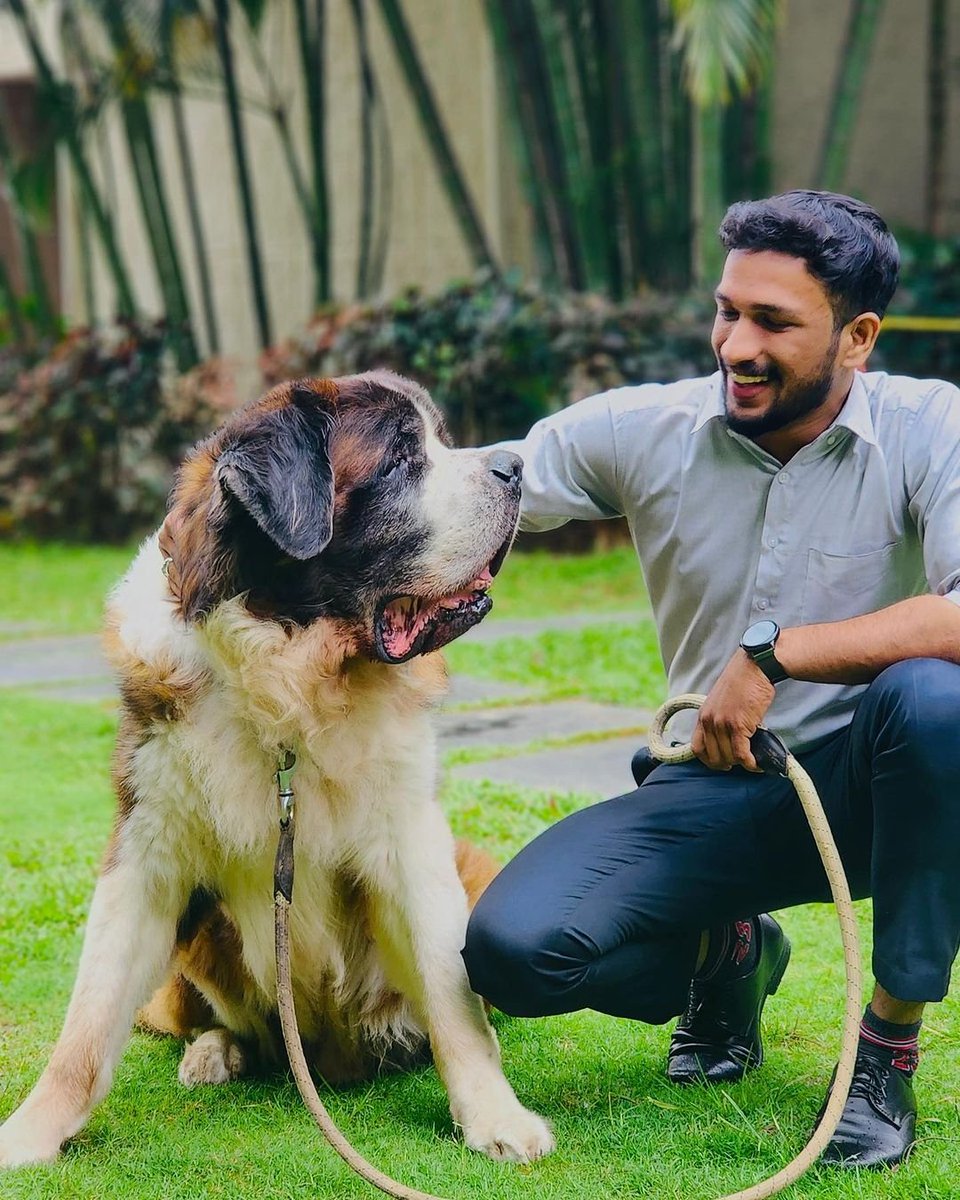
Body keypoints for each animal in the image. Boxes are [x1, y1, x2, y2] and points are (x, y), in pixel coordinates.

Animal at [0, 369, 554, 1166]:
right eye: (399, 458)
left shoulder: (414, 844)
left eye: (441, 440)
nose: (514, 465)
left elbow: (455, 1000)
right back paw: (213, 1051)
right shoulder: (145, 849)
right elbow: (87, 1023)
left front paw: (496, 1117)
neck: (291, 681)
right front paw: (29, 1133)